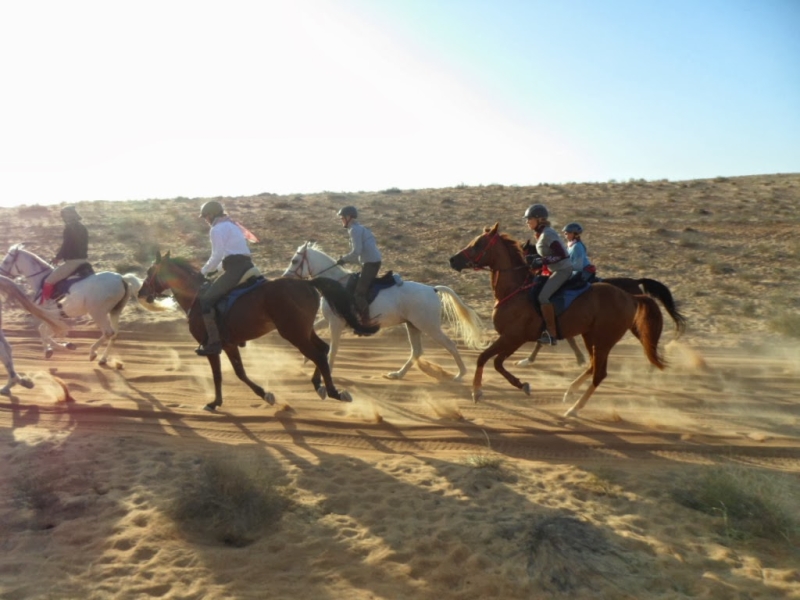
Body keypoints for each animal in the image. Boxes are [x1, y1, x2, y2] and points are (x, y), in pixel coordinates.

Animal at [0, 245, 142, 366]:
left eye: (6, 262)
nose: (2, 274)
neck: (41, 280)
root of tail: (121, 278)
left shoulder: (51, 315)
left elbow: (44, 331)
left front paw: (55, 348)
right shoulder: (55, 316)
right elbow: (47, 331)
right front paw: (56, 347)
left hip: (97, 312)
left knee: (108, 332)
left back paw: (92, 353)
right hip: (115, 311)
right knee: (115, 334)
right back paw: (103, 359)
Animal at [139, 250, 380, 412]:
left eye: (150, 271)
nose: (141, 293)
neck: (196, 296)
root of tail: (308, 283)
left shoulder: (214, 347)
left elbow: (223, 374)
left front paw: (218, 402)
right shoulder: (229, 344)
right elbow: (238, 373)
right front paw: (260, 395)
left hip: (293, 333)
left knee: (319, 354)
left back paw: (333, 392)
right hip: (304, 330)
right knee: (324, 348)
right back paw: (319, 386)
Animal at [284, 240, 484, 378]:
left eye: (294, 260)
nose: (285, 277)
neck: (335, 284)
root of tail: (432, 289)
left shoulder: (336, 323)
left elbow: (333, 349)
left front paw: (328, 370)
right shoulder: (330, 320)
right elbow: (312, 329)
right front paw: (306, 358)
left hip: (429, 326)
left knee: (449, 345)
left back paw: (460, 375)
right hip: (412, 325)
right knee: (417, 351)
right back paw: (398, 374)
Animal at [446, 225, 664, 418]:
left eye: (478, 244)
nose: (453, 259)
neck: (515, 290)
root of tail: (630, 297)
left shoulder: (513, 337)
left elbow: (486, 358)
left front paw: (478, 391)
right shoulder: (511, 339)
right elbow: (495, 362)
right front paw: (521, 384)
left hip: (604, 340)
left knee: (600, 373)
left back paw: (574, 409)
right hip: (591, 336)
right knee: (593, 366)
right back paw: (570, 392)